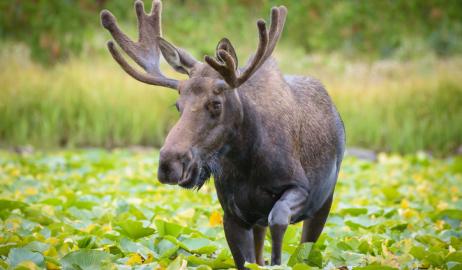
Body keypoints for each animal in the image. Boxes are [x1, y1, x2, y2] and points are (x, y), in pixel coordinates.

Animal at [102, 1, 346, 268]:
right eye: (178, 105)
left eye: (216, 104)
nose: (169, 163)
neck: (248, 163)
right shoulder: (233, 214)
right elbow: (247, 260)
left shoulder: (301, 188)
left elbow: (279, 217)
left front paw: (278, 260)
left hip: (325, 201)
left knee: (306, 247)